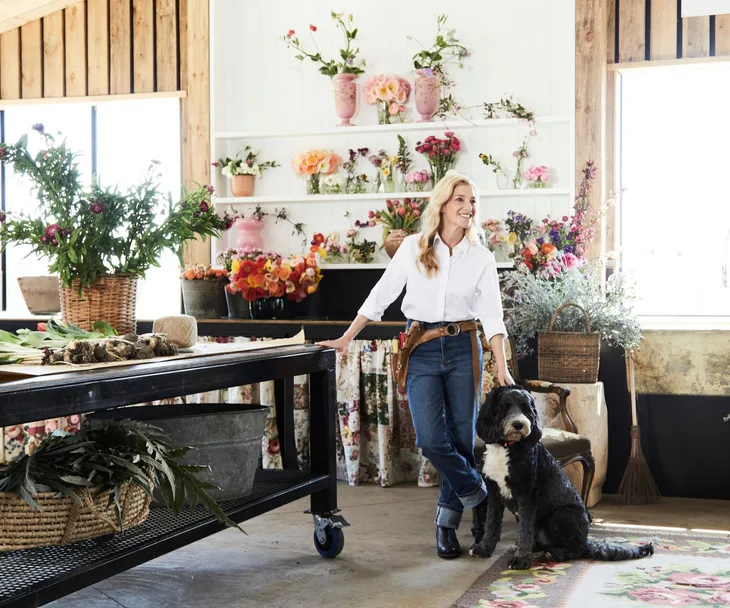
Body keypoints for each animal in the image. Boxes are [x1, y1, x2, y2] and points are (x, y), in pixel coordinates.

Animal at [470, 384, 652, 568]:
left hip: (560, 515)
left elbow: (525, 530)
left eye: (526, 408)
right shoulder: (494, 493)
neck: (506, 446)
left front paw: (520, 559)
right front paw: (483, 549)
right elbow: (491, 523)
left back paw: (556, 553)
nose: (519, 425)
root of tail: (586, 540)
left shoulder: (527, 495)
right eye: (505, 407)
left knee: (577, 549)